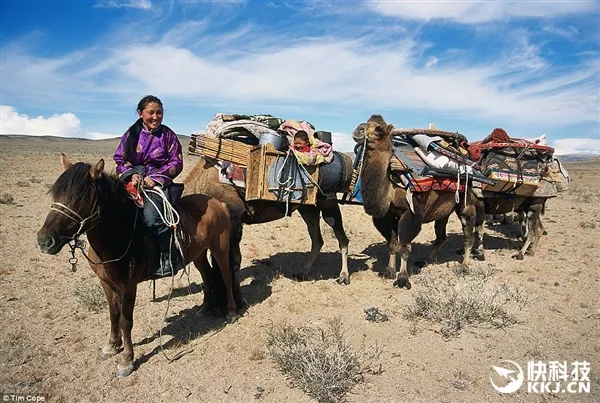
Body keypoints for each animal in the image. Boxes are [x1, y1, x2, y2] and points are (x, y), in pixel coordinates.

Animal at [35, 155, 237, 378]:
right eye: (56, 193)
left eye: (81, 198)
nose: (45, 241)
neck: (118, 234)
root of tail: (218, 203)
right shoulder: (106, 283)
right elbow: (113, 314)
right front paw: (111, 346)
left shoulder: (128, 286)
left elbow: (126, 321)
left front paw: (126, 360)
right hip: (198, 254)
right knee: (208, 276)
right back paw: (204, 308)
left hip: (220, 248)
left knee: (226, 276)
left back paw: (231, 311)